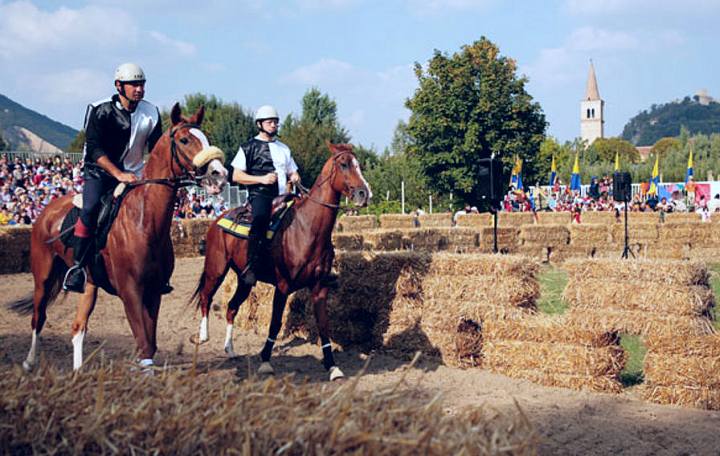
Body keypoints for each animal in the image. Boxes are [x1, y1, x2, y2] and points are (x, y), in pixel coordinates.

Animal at [11, 103, 228, 370]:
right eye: (185, 139)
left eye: (205, 137)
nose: (219, 174)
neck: (144, 221)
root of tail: (46, 212)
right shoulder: (130, 291)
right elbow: (144, 342)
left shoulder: (153, 291)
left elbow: (150, 344)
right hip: (42, 276)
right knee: (38, 317)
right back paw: (30, 362)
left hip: (89, 284)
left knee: (78, 327)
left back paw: (78, 370)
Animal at [191, 142, 372, 382]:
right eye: (343, 164)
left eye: (358, 164)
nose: (364, 193)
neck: (306, 228)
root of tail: (217, 221)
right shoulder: (283, 286)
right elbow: (275, 323)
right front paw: (265, 361)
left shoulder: (319, 287)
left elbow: (324, 326)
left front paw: (332, 366)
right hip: (216, 269)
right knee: (205, 298)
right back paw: (203, 336)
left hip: (245, 280)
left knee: (231, 307)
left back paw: (230, 349)